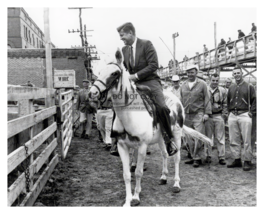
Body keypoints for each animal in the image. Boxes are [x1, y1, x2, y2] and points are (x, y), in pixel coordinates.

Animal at [89, 49, 212, 206]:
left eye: (114, 73)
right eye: (99, 72)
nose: (92, 93)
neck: (129, 115)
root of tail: (176, 100)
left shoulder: (142, 146)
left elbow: (138, 172)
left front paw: (136, 197)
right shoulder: (123, 146)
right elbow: (127, 174)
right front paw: (128, 201)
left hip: (177, 135)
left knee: (176, 158)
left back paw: (176, 184)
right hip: (161, 139)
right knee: (165, 154)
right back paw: (164, 177)